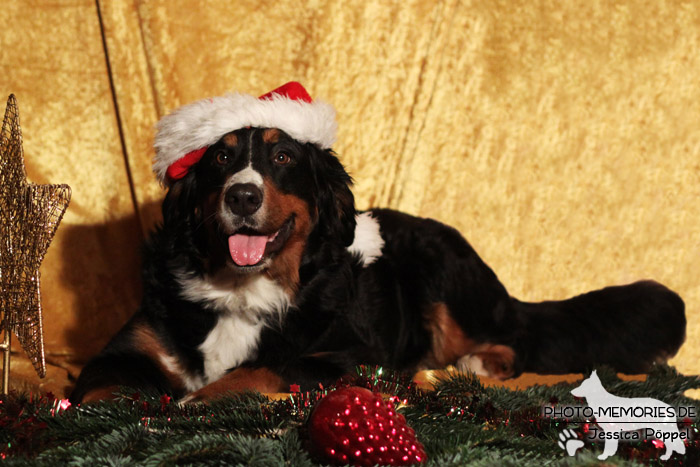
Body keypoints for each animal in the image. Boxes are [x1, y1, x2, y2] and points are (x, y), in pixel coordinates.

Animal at [69, 82, 684, 404]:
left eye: (283, 155)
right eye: (220, 156)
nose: (242, 196)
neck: (242, 292)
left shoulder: (347, 357)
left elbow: (264, 369)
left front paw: (198, 399)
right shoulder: (124, 351)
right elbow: (98, 392)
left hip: (442, 273)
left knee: (517, 340)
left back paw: (476, 363)